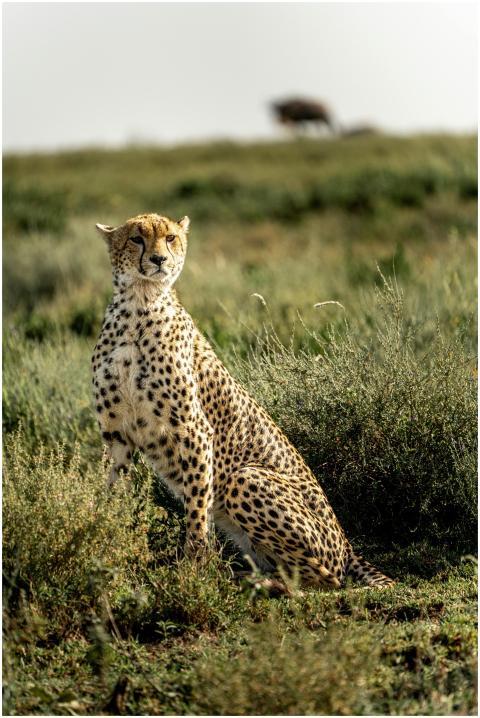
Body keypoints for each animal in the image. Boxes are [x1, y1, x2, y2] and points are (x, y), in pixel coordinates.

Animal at [92, 212, 394, 589]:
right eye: (136, 239)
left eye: (171, 238)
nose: (160, 260)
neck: (139, 302)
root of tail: (348, 545)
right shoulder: (116, 435)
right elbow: (109, 495)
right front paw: (103, 546)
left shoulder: (194, 433)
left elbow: (197, 511)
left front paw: (194, 573)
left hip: (245, 478)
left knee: (325, 580)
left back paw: (259, 582)